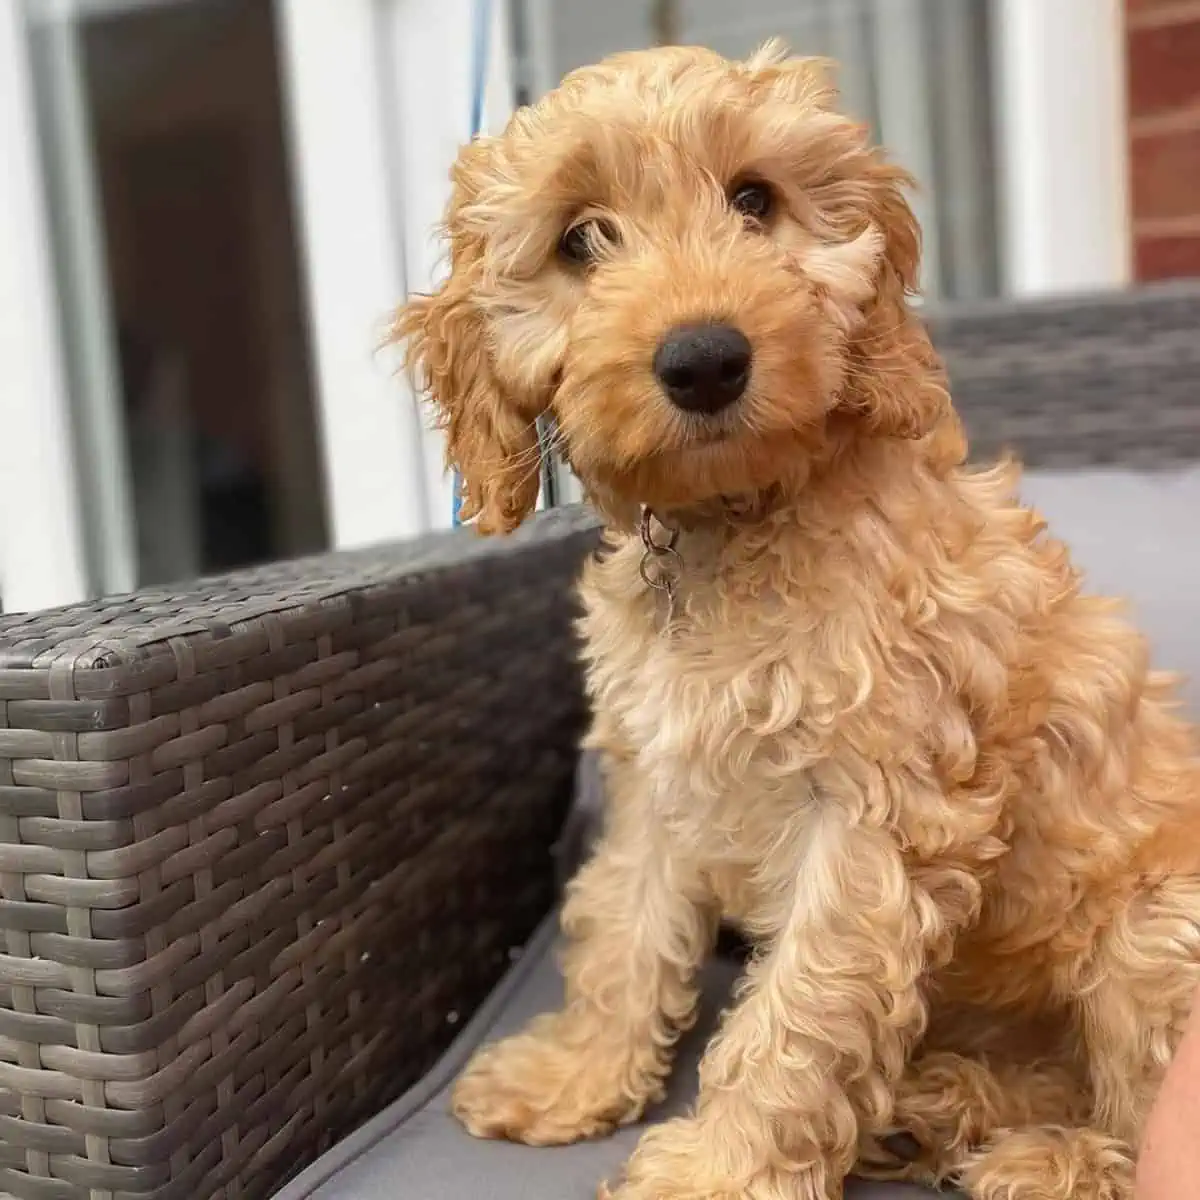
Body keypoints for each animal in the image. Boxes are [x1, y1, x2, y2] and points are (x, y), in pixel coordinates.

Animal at [393, 42, 1200, 1200]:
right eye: (580, 239)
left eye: (754, 200)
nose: (703, 359)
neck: (736, 521)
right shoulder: (658, 778)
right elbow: (622, 932)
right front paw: (574, 1078)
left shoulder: (874, 810)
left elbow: (804, 1011)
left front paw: (717, 1173)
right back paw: (935, 1110)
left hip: (1151, 924)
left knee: (1138, 1109)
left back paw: (1050, 1158)